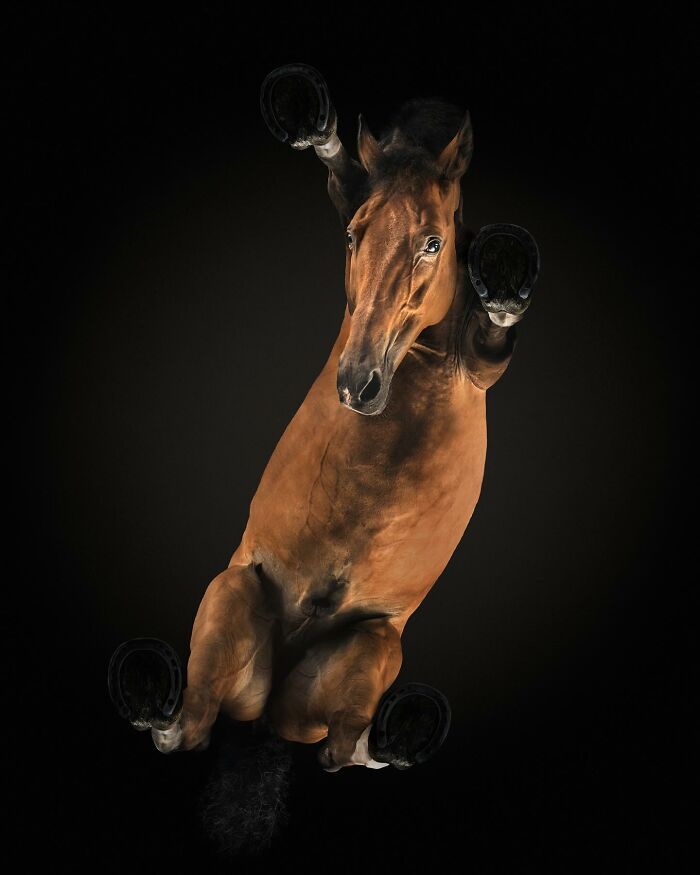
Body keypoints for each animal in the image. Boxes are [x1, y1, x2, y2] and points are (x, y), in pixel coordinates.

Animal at [108, 63, 540, 778]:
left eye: (433, 241)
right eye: (352, 234)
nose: (358, 383)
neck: (419, 363)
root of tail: (270, 709)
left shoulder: (482, 364)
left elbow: (497, 329)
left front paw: (504, 278)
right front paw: (309, 118)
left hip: (374, 644)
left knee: (344, 748)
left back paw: (403, 734)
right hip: (232, 592)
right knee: (190, 726)